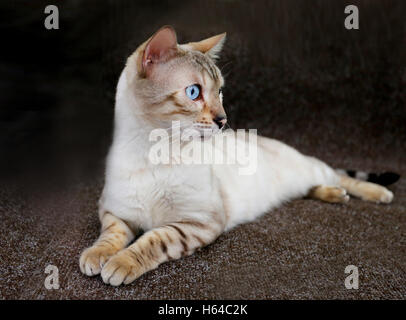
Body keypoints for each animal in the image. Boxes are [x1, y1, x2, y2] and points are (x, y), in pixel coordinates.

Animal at [79, 26, 400, 286]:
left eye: (220, 92)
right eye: (194, 92)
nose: (223, 120)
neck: (150, 153)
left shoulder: (197, 223)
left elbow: (152, 240)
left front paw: (121, 263)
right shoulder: (114, 211)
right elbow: (110, 235)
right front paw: (96, 256)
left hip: (312, 168)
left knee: (340, 176)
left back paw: (377, 193)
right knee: (315, 188)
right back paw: (334, 195)